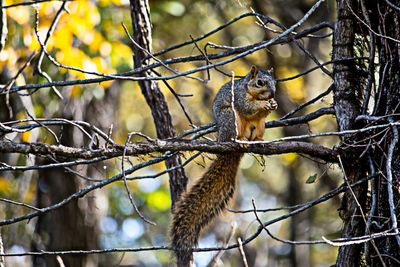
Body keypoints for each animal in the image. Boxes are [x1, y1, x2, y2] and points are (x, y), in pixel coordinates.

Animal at [170, 66, 276, 266]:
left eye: (276, 82)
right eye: (260, 82)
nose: (273, 94)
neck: (250, 90)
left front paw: (273, 104)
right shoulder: (239, 98)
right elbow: (248, 107)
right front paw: (263, 105)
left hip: (260, 126)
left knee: (257, 129)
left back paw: (258, 141)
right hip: (230, 118)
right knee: (235, 129)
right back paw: (241, 141)